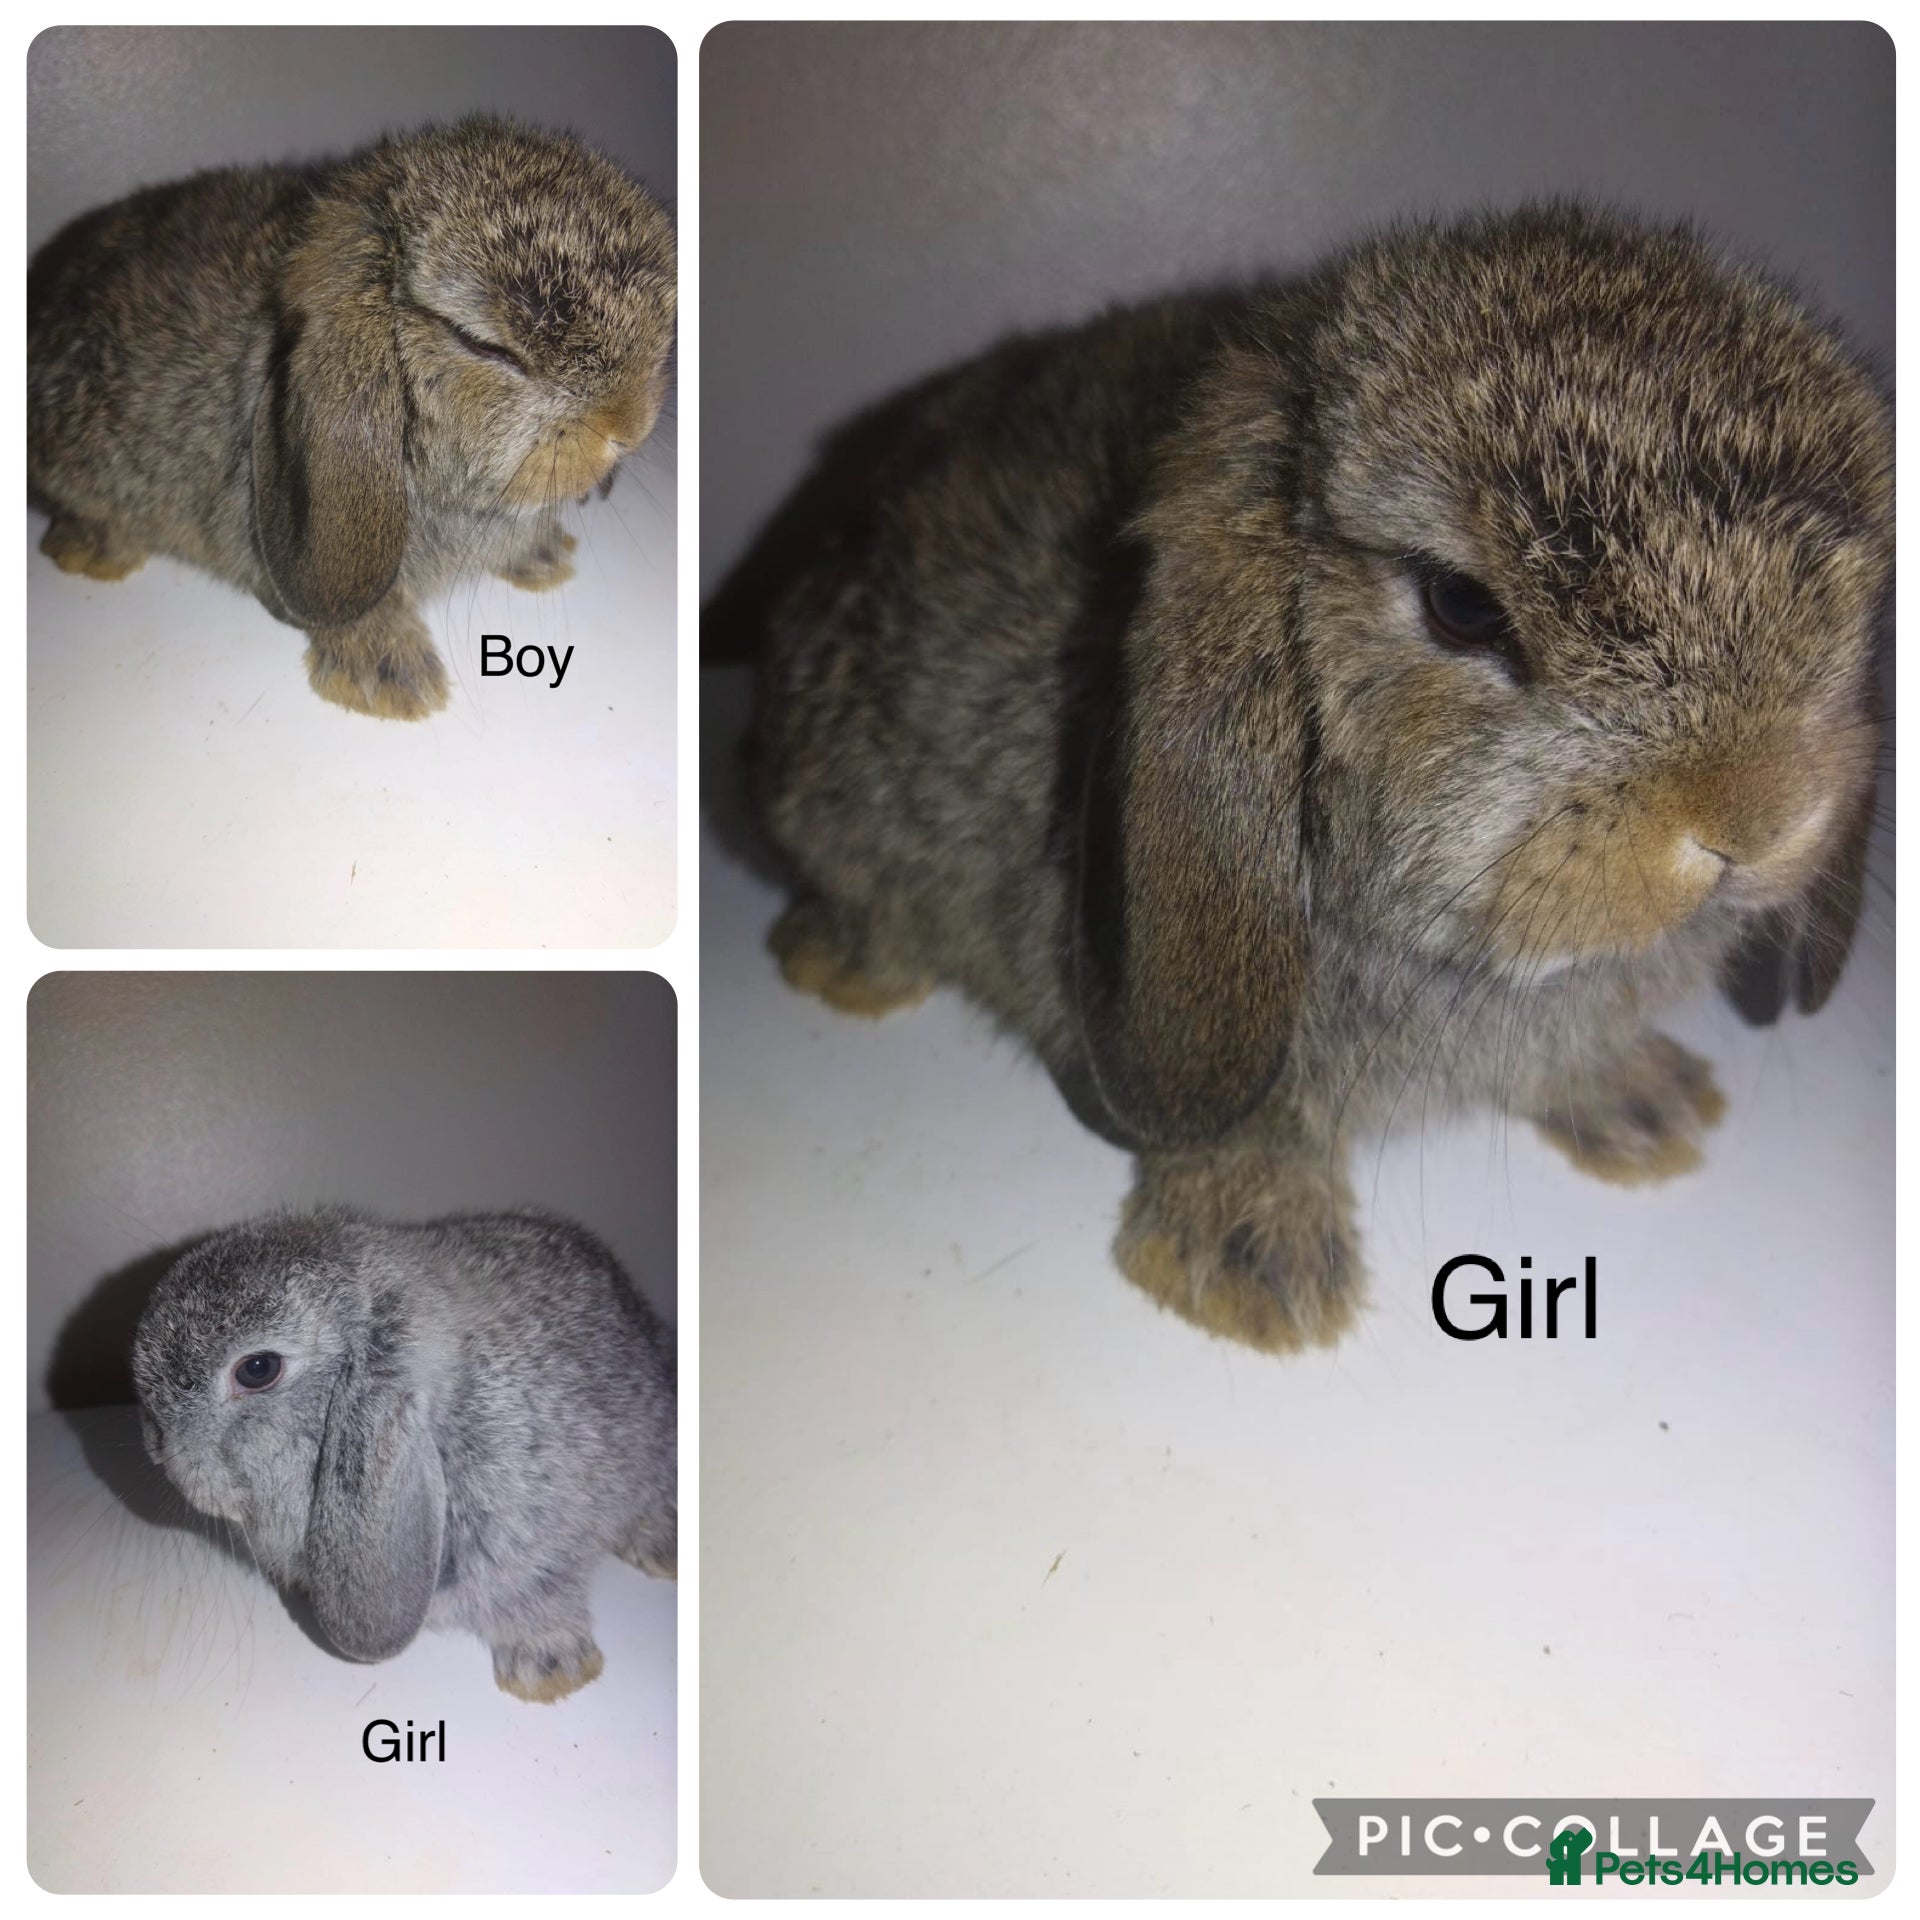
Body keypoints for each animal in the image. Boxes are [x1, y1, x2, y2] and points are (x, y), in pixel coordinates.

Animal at [735, 204, 1892, 1355]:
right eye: (1462, 605)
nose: (1757, 815)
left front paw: (1651, 1109)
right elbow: (1253, 1131)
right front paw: (1255, 1279)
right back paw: (838, 966)